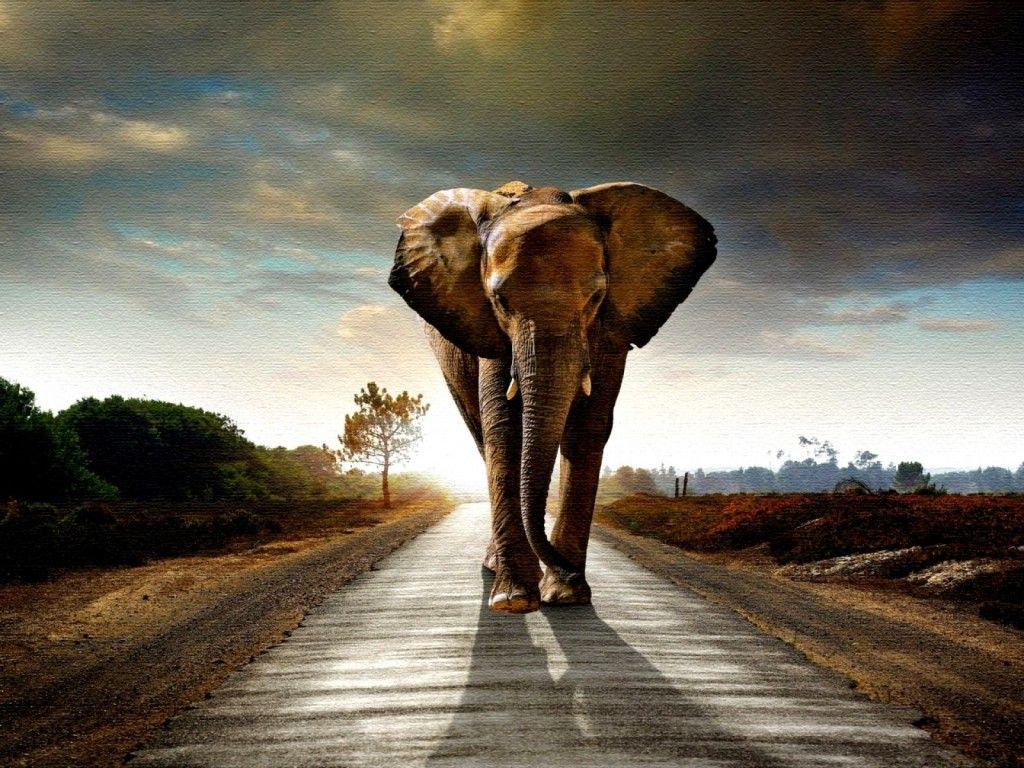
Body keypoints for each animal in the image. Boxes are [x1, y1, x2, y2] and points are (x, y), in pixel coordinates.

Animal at [389, 180, 716, 614]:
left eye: (595, 298)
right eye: (500, 301)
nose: (568, 571)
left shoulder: (610, 328)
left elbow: (588, 428)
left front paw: (566, 595)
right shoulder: (488, 329)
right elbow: (504, 428)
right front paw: (514, 600)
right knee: (481, 435)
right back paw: (496, 569)